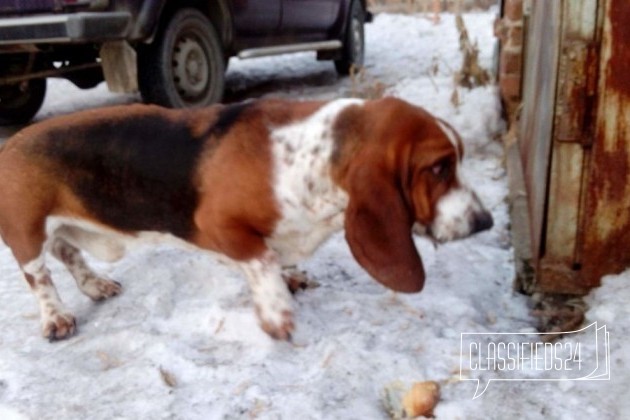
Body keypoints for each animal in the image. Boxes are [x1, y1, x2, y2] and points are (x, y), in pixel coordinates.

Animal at [0, 97, 494, 342]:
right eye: (439, 168)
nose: (486, 222)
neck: (308, 158)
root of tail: (11, 143)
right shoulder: (219, 225)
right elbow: (262, 260)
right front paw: (277, 313)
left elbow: (278, 255)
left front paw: (291, 276)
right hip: (27, 231)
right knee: (38, 274)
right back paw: (56, 318)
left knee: (67, 251)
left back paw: (95, 285)